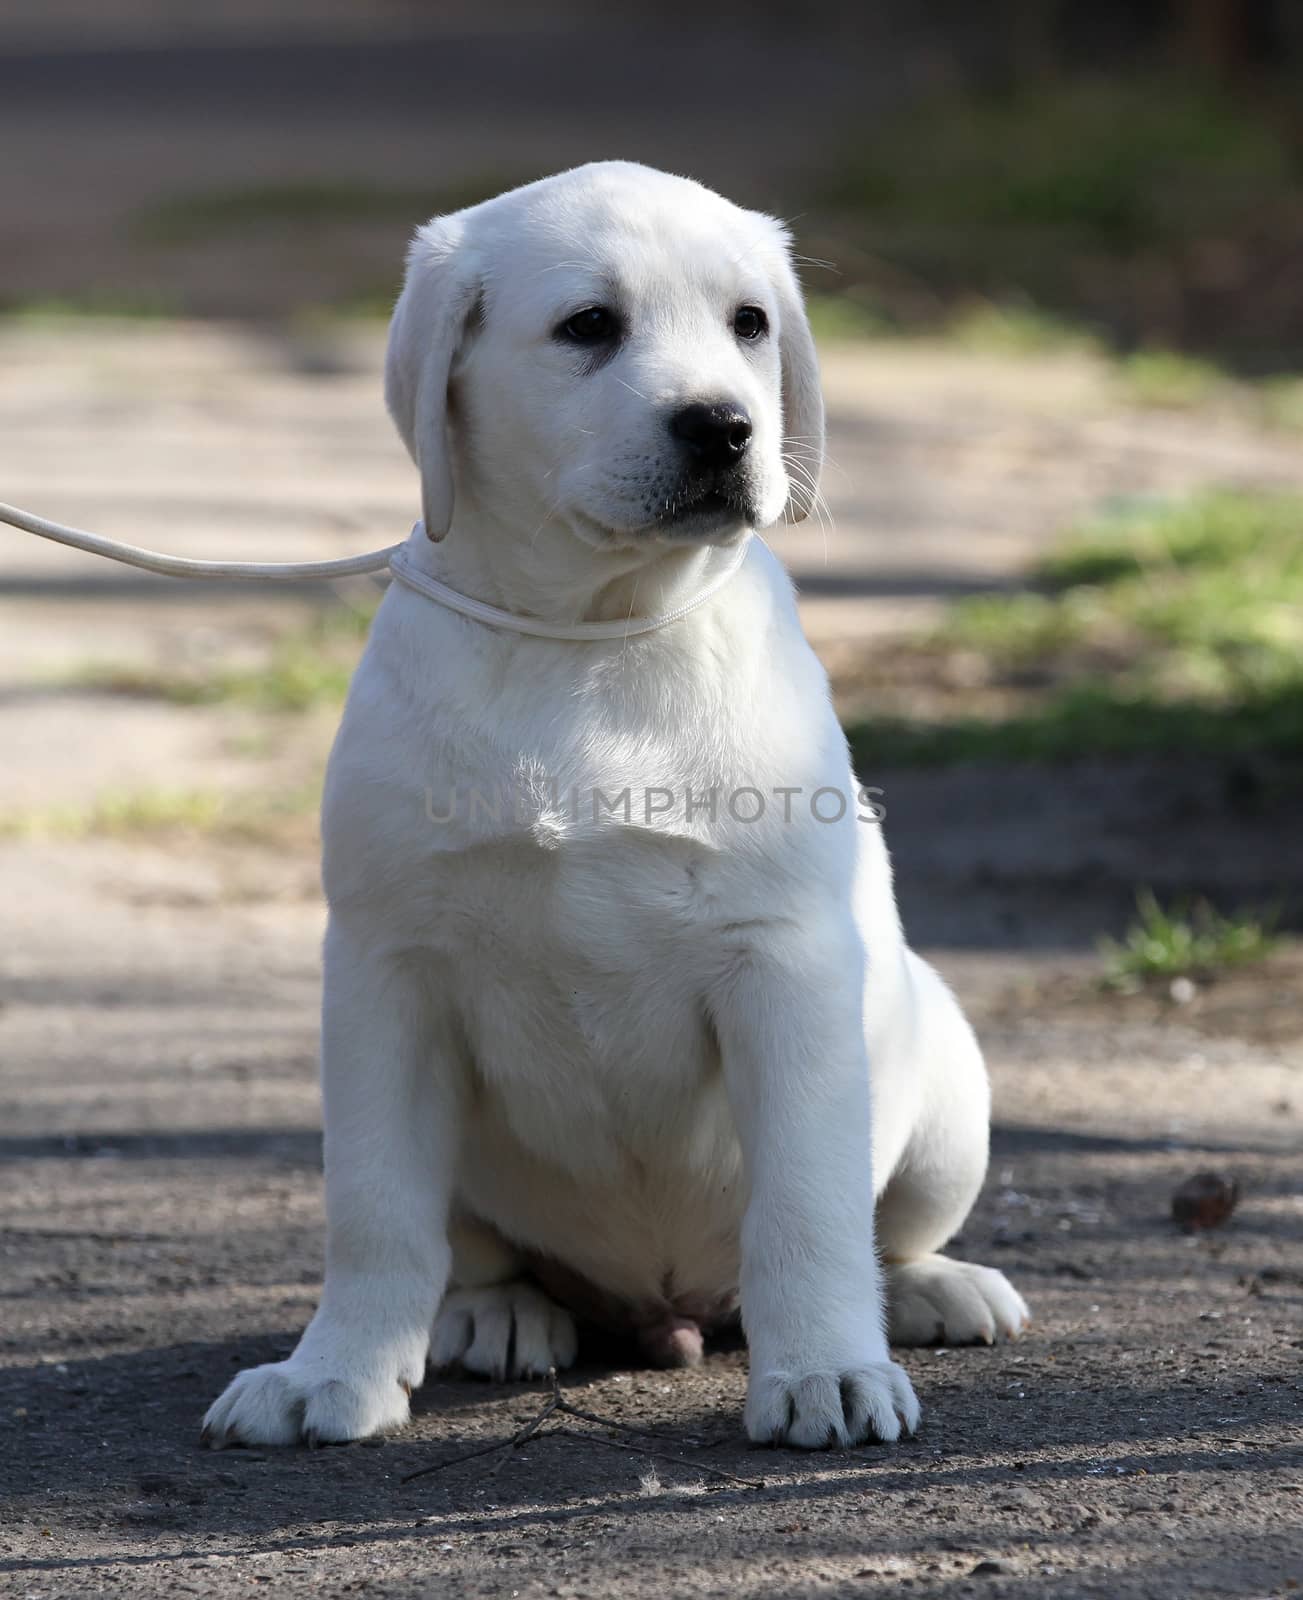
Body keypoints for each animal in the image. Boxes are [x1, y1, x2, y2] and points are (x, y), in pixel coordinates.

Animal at [204, 162, 1030, 1452]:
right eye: (589, 325)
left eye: (750, 323)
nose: (725, 426)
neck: (590, 635)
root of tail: (670, 1307)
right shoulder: (388, 974)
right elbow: (376, 1210)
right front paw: (329, 1372)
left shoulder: (783, 967)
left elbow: (807, 1208)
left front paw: (826, 1370)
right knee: (471, 1247)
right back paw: (494, 1313)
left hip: (944, 1086)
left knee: (882, 1229)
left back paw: (930, 1292)